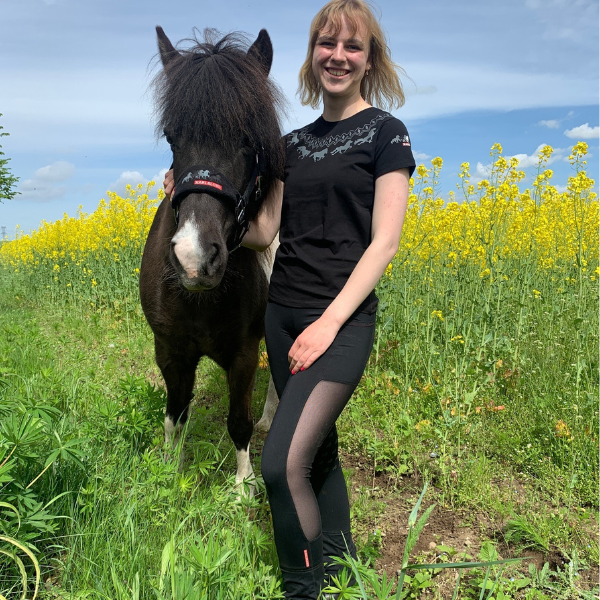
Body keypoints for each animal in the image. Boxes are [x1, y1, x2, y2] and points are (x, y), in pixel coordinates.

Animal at [139, 27, 282, 492]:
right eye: (171, 136)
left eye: (248, 139)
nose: (194, 258)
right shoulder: (169, 351)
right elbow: (175, 416)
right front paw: (170, 470)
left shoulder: (243, 354)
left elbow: (238, 420)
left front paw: (243, 487)